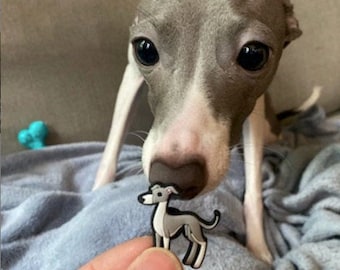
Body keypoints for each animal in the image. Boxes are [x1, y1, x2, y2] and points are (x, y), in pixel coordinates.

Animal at [92, 0, 300, 264]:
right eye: (144, 49)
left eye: (253, 55)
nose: (175, 177)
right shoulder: (131, 73)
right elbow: (112, 144)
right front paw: (97, 191)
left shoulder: (256, 106)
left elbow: (253, 188)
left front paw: (258, 246)